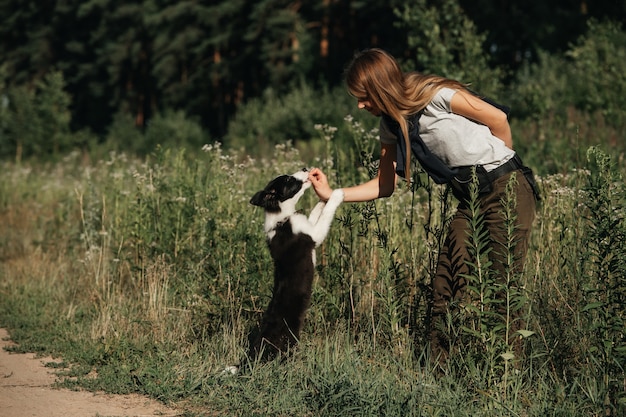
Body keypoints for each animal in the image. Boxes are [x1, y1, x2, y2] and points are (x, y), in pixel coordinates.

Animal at [245, 168, 342, 364]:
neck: (282, 217)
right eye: (289, 180)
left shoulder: (309, 226)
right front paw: (337, 194)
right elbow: (326, 214)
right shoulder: (314, 235)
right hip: (289, 338)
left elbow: (316, 212)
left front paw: (323, 197)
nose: (305, 169)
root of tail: (255, 351)